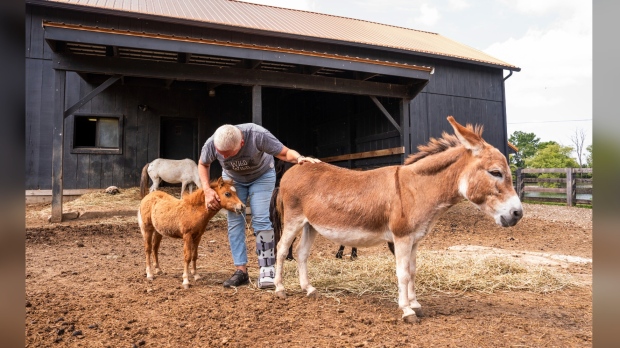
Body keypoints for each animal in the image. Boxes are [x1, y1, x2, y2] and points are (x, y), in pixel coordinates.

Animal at [272, 117, 524, 324]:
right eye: (495, 172)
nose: (517, 214)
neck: (416, 189)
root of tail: (297, 167)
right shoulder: (401, 238)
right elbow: (402, 273)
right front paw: (407, 311)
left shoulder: (415, 239)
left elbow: (412, 271)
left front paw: (415, 304)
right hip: (294, 219)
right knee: (282, 249)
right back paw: (280, 289)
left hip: (310, 225)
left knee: (302, 253)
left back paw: (308, 289)